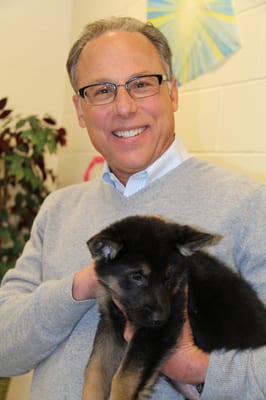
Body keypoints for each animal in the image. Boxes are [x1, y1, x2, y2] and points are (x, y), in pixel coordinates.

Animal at [82, 216, 266, 400]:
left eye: (168, 277)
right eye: (137, 277)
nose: (161, 319)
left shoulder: (157, 332)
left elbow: (123, 379)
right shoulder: (110, 322)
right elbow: (95, 371)